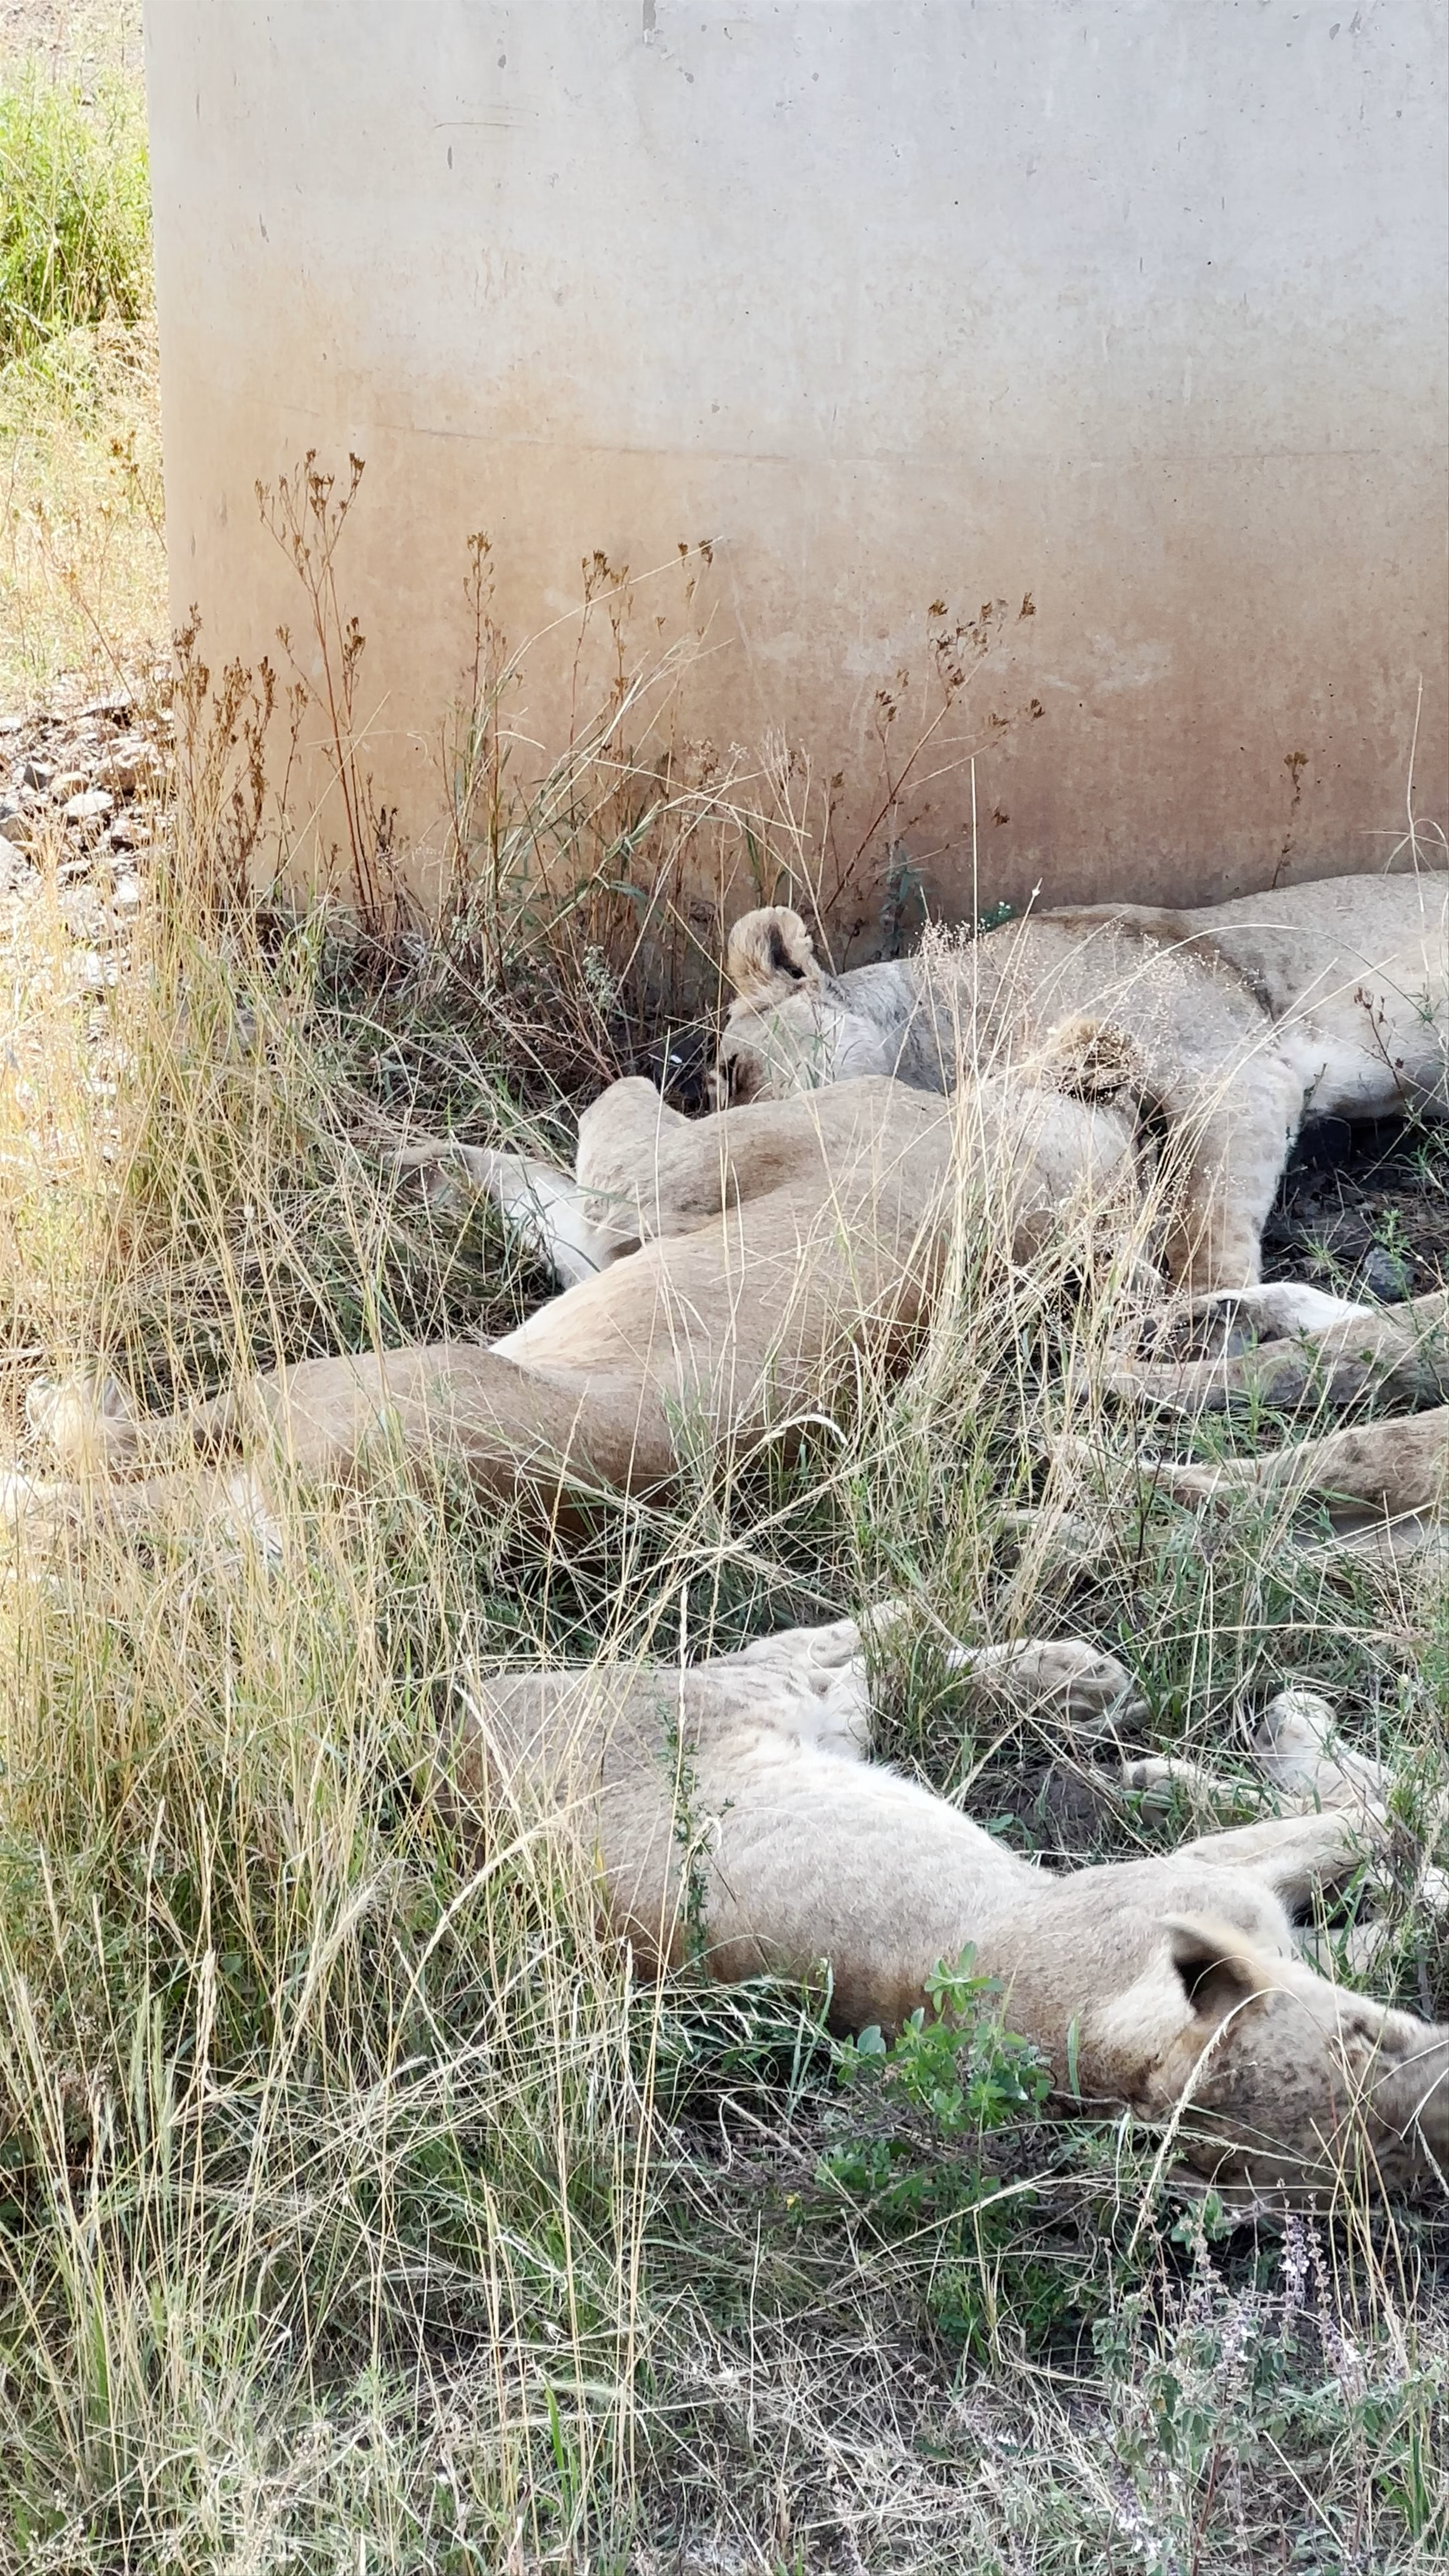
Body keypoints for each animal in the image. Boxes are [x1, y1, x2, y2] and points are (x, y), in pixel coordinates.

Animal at [450, 1607, 1449, 2195]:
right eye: (1365, 2038)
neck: (1110, 2053)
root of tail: (461, 1721)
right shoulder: (1203, 1876)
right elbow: (1373, 1813)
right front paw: (1382, 1802)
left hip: (804, 1730)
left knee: (855, 1666)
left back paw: (1063, 1678)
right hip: (724, 1705)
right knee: (824, 1651)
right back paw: (1070, 1668)